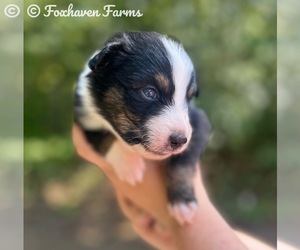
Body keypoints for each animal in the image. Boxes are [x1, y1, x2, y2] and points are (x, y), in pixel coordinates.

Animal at [74, 31, 211, 225]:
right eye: (149, 92)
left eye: (189, 98)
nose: (179, 140)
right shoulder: (84, 117)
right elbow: (106, 136)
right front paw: (128, 166)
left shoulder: (197, 122)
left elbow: (183, 161)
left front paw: (183, 202)